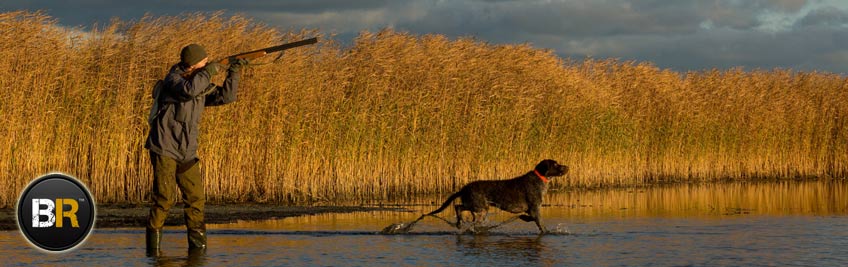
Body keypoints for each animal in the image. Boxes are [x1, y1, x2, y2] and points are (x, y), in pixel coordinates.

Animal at [420, 160, 568, 233]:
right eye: (555, 164)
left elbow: (530, 218)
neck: (540, 179)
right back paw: (459, 222)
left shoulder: (531, 210)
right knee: (458, 207)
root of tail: (464, 188)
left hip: (479, 208)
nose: (567, 167)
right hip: (479, 207)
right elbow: (541, 225)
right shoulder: (534, 208)